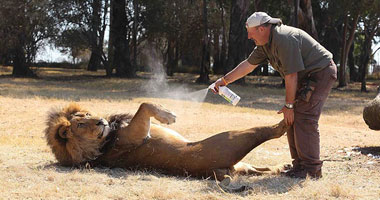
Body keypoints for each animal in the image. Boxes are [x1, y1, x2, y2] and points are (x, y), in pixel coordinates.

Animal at [45, 103, 288, 180]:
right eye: (79, 125)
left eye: (85, 116)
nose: (101, 122)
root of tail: (215, 172)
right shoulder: (137, 133)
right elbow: (144, 105)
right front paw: (168, 115)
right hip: (232, 138)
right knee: (265, 133)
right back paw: (284, 122)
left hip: (241, 166)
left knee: (261, 169)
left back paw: (283, 167)